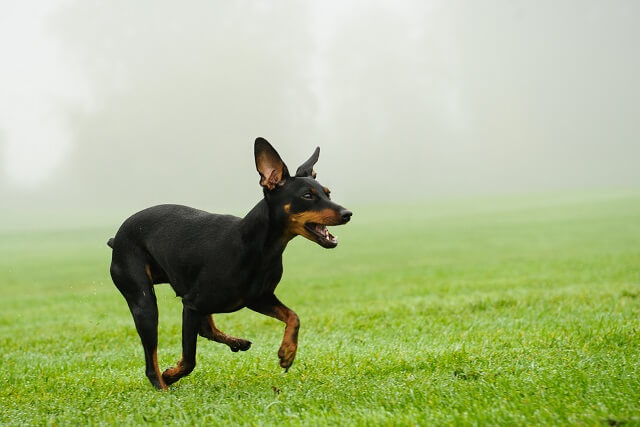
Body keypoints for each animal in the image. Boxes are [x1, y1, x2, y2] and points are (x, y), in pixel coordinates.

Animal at [107, 139, 352, 390]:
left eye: (328, 193)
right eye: (307, 196)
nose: (347, 213)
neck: (257, 246)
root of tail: (117, 239)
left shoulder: (257, 298)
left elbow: (294, 316)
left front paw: (287, 352)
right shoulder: (191, 305)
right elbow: (189, 359)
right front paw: (172, 374)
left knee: (207, 329)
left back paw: (237, 343)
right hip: (145, 304)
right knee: (152, 360)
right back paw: (163, 385)